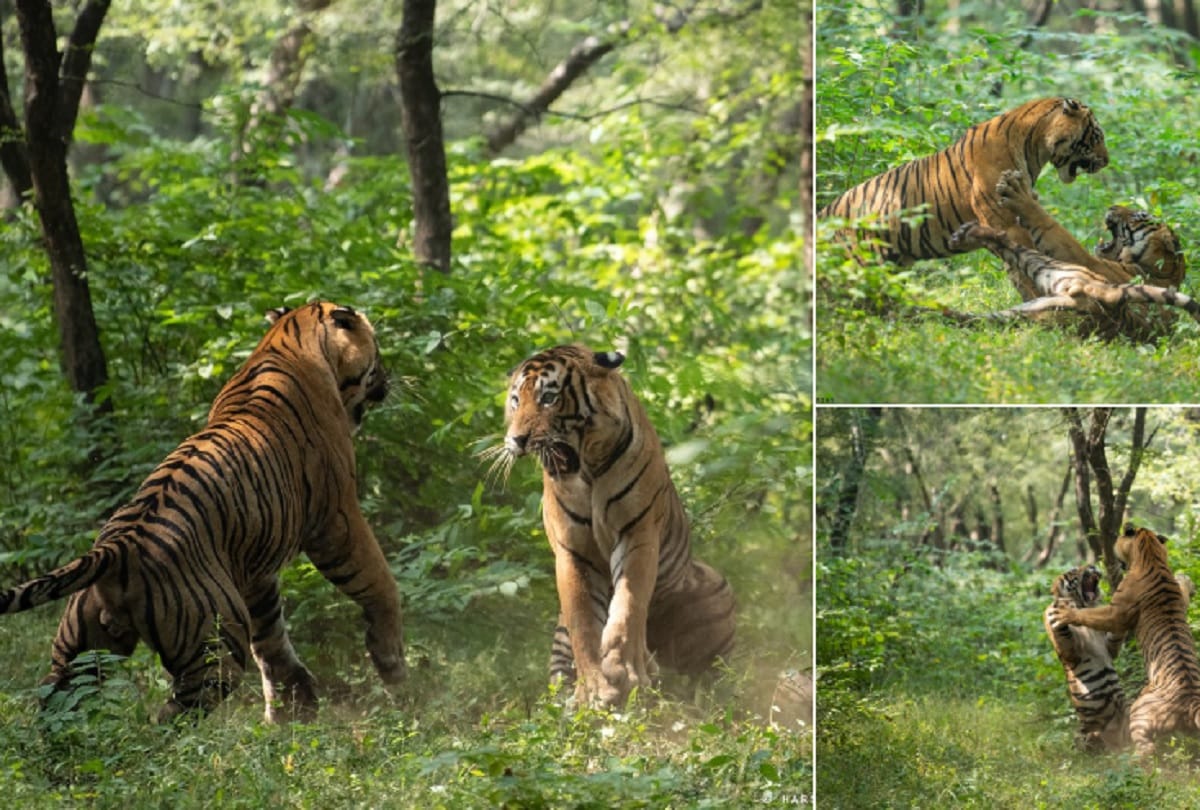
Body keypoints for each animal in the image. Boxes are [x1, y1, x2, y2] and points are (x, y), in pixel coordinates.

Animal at [0, 302, 406, 723]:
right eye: (377, 350)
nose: (388, 379)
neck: (289, 340)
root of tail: (118, 548)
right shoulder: (337, 519)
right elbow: (379, 582)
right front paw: (390, 662)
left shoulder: (254, 567)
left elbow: (270, 639)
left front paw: (294, 707)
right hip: (215, 643)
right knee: (170, 717)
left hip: (80, 648)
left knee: (58, 701)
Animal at [482, 345, 736, 708]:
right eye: (516, 400)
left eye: (548, 397)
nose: (517, 440)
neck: (587, 470)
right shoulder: (573, 550)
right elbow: (584, 619)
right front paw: (595, 688)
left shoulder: (637, 533)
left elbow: (628, 605)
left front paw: (624, 671)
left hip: (715, 591)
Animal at [1043, 564, 1128, 752]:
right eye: (1074, 570)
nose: (1092, 565)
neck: (1083, 607)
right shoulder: (1072, 654)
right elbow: (1061, 633)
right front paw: (1056, 611)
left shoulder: (1109, 646)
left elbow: (1115, 632)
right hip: (1085, 732)